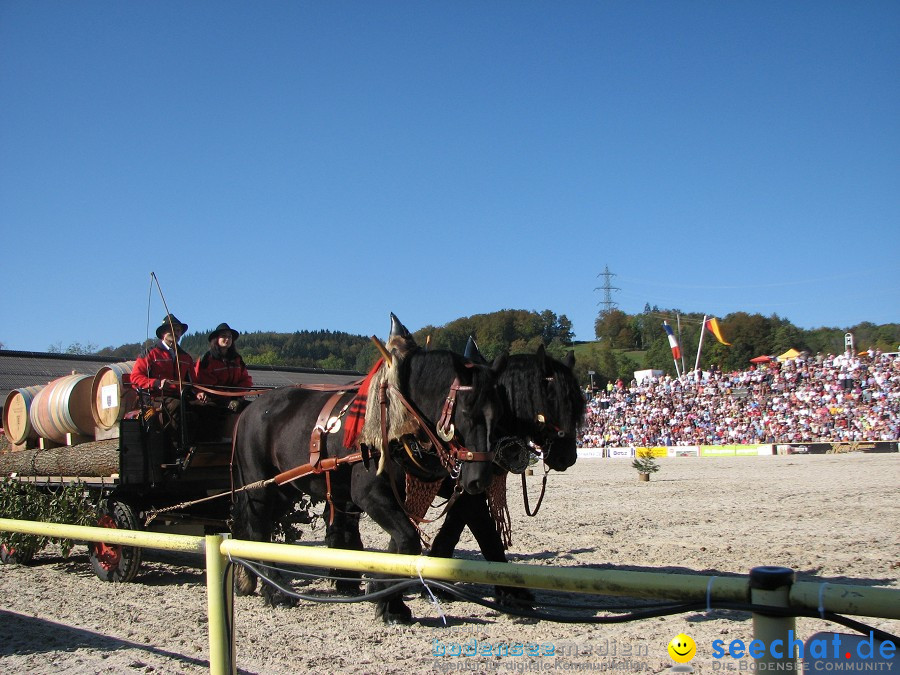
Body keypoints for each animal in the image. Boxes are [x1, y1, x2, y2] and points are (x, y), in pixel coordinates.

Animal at [230, 316, 506, 624]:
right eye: (466, 412)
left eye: (498, 411)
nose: (479, 477)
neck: (402, 419)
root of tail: (248, 409)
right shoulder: (369, 494)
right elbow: (407, 541)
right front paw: (383, 595)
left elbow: (402, 546)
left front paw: (390, 601)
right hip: (260, 488)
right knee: (258, 531)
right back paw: (275, 590)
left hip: (284, 489)